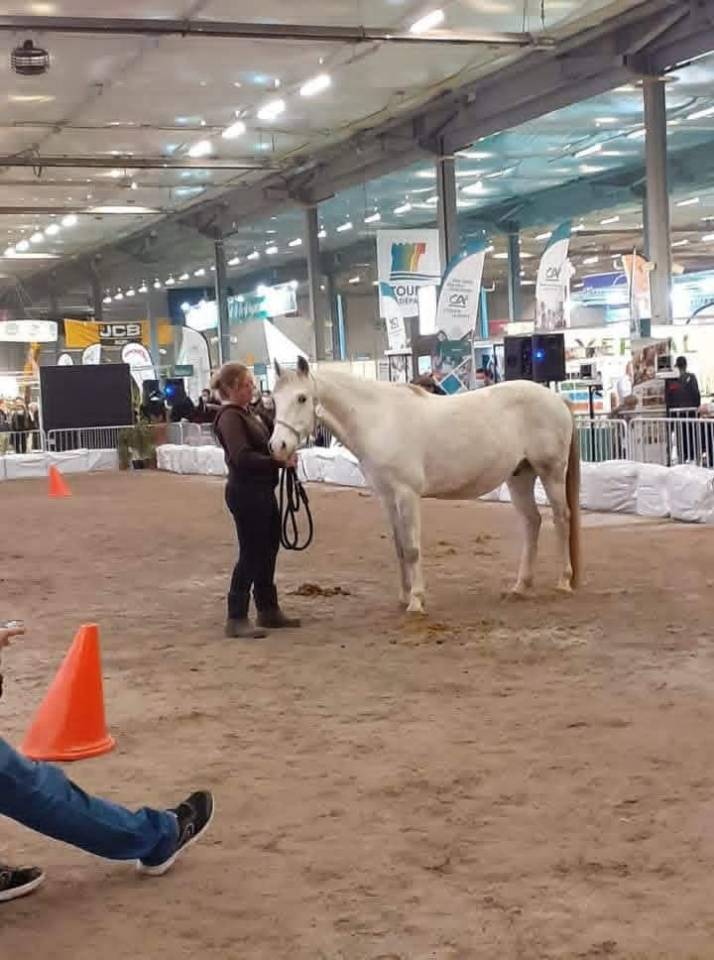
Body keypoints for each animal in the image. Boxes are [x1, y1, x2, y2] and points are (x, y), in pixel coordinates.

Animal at [270, 357, 580, 615]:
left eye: (301, 398)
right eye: (273, 399)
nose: (277, 446)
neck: (379, 419)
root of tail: (557, 398)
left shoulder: (406, 494)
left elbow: (412, 548)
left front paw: (416, 601)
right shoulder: (386, 497)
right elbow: (398, 548)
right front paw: (403, 596)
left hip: (550, 472)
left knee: (561, 518)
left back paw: (563, 581)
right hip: (520, 476)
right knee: (532, 522)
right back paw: (520, 586)